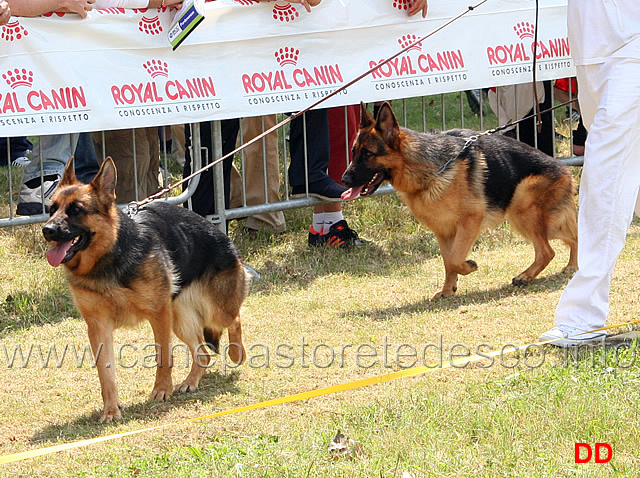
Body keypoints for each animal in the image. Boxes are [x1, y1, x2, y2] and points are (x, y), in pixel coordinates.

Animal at [42, 158, 250, 422]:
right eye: (51, 209)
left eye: (76, 210)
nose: (47, 230)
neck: (110, 256)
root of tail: (221, 235)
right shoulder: (98, 326)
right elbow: (105, 373)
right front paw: (111, 410)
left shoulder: (158, 313)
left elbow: (163, 356)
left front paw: (162, 390)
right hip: (180, 320)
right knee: (202, 353)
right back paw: (191, 381)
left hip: (212, 312)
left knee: (235, 318)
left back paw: (236, 353)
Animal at [342, 102, 576, 298]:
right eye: (353, 152)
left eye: (368, 154)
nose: (344, 180)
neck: (427, 169)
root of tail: (566, 171)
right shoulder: (443, 231)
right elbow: (448, 262)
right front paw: (448, 290)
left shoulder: (469, 222)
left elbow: (455, 259)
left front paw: (469, 266)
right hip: (538, 219)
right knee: (572, 236)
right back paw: (572, 266)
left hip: (523, 211)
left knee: (548, 250)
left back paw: (526, 276)